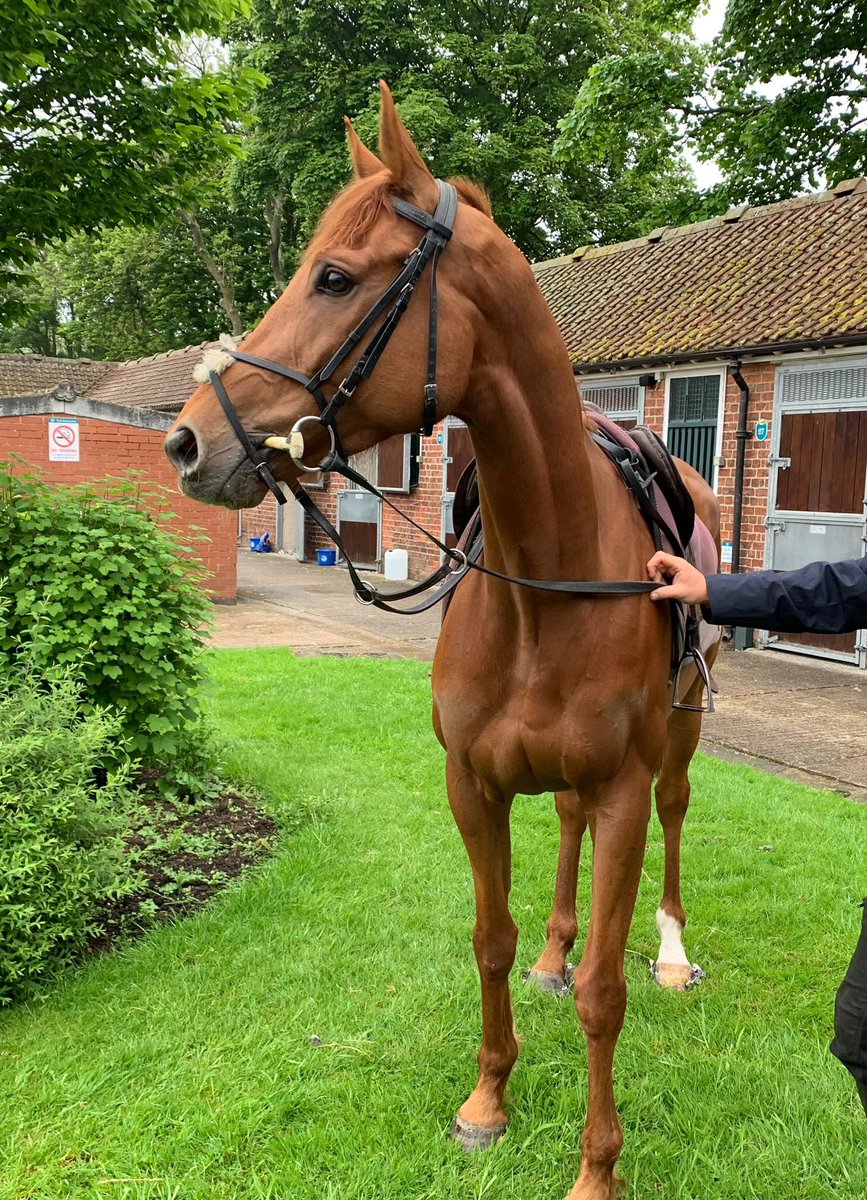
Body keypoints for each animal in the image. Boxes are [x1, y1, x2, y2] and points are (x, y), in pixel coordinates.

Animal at [165, 84, 720, 1200]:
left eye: (336, 276)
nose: (189, 440)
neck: (547, 579)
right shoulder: (474, 783)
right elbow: (490, 943)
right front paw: (488, 1099)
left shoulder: (622, 795)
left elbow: (605, 992)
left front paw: (596, 1168)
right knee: (560, 845)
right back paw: (555, 950)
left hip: (677, 739)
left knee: (677, 817)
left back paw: (674, 952)